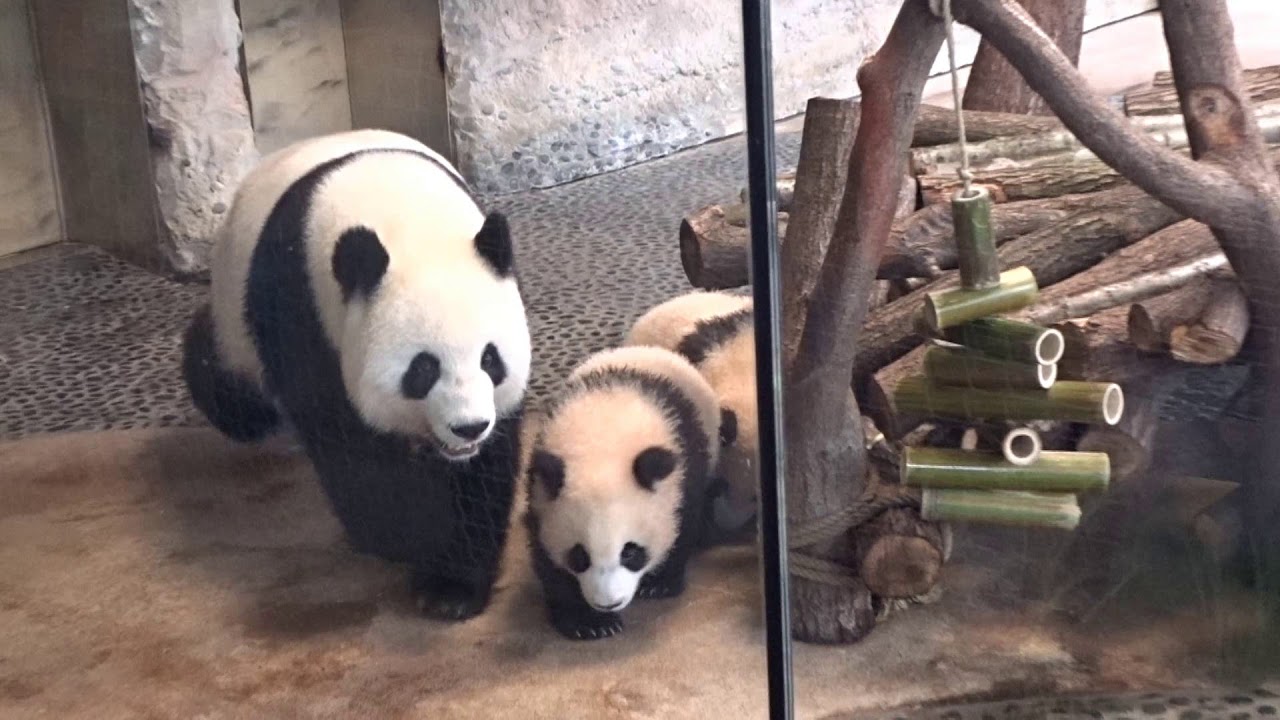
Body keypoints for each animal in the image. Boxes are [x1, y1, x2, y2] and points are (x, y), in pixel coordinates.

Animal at [181, 129, 532, 621]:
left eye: (491, 360)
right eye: (423, 369)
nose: (468, 427)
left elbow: (484, 470)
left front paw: (452, 586)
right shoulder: (299, 304)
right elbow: (348, 446)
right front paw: (396, 538)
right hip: (237, 324)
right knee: (231, 390)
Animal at [522, 345, 723, 640]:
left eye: (630, 552)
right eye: (579, 556)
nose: (609, 603)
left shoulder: (683, 471)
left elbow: (682, 525)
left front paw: (659, 584)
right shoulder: (541, 491)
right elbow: (547, 557)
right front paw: (590, 623)